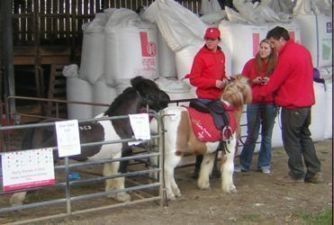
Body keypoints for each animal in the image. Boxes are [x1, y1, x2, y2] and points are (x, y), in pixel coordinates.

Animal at [9, 77, 171, 206]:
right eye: (153, 90)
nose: (168, 98)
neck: (118, 123)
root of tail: (36, 127)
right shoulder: (121, 155)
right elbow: (119, 175)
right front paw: (122, 196)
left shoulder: (110, 157)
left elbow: (109, 175)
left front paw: (110, 194)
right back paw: (18, 200)